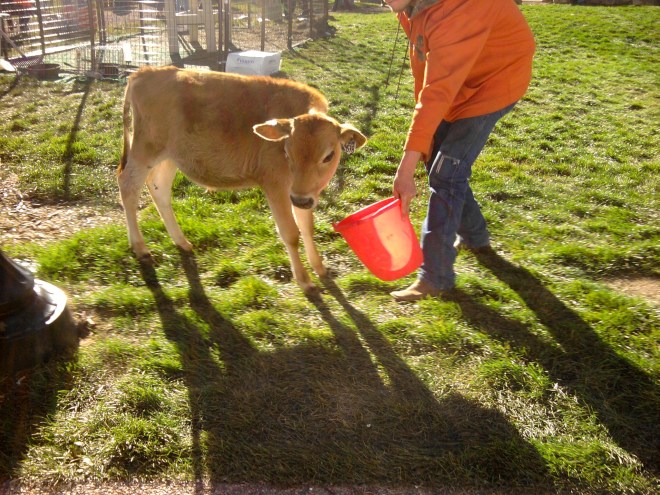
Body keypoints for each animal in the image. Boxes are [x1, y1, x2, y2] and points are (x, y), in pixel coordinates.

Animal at [117, 66, 367, 294]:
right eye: (287, 152)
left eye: (328, 156)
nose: (301, 200)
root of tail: (145, 71)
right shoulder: (276, 185)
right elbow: (291, 233)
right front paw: (304, 280)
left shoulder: (301, 191)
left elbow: (307, 227)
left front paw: (319, 267)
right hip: (145, 150)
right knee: (128, 185)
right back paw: (140, 247)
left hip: (170, 157)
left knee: (159, 189)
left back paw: (181, 241)